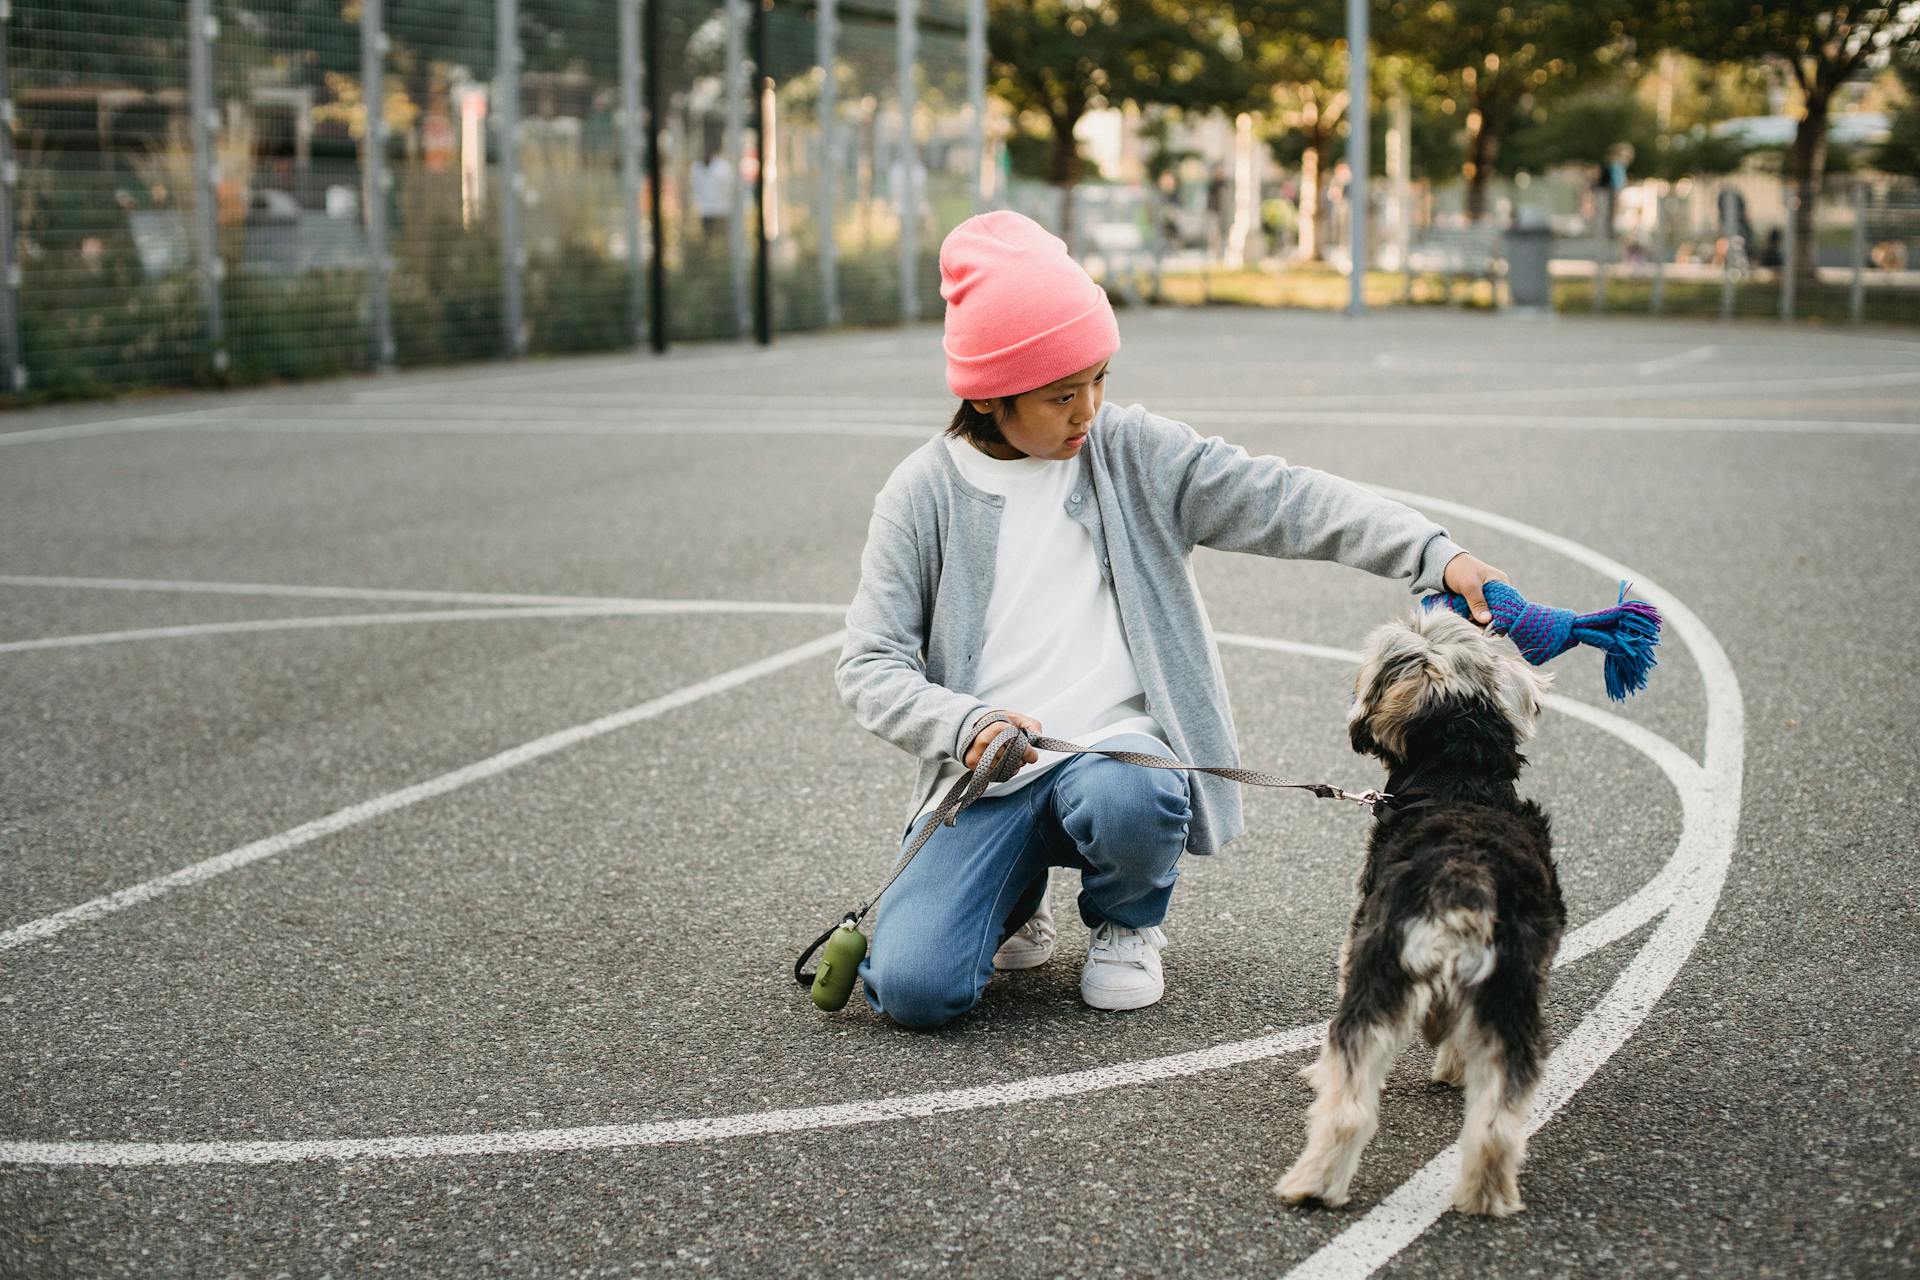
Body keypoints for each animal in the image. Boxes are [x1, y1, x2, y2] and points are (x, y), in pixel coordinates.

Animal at [1274, 610, 1559, 1220]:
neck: (1460, 780)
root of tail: (1464, 884)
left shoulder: (1357, 941)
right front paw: (1453, 1067)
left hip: (1377, 979)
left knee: (1349, 1106)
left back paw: (1311, 1184)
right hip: (1511, 1000)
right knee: (1499, 1120)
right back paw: (1485, 1195)